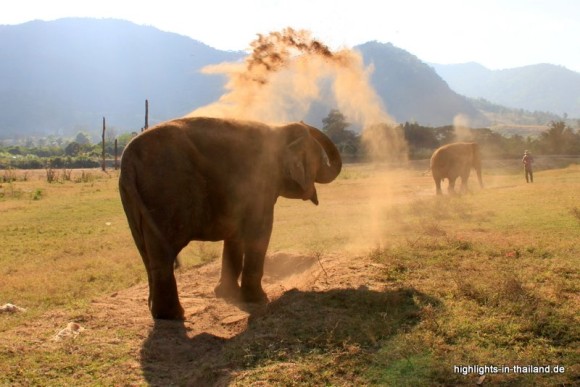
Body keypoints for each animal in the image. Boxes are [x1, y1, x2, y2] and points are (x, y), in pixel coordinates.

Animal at [119, 116, 342, 320]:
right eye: (320, 158)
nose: (303, 122)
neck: (278, 128)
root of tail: (127, 160)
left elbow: (235, 234)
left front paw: (226, 294)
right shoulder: (260, 181)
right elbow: (260, 231)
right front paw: (258, 300)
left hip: (134, 200)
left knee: (147, 253)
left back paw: (158, 312)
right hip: (166, 193)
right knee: (163, 255)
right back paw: (174, 315)